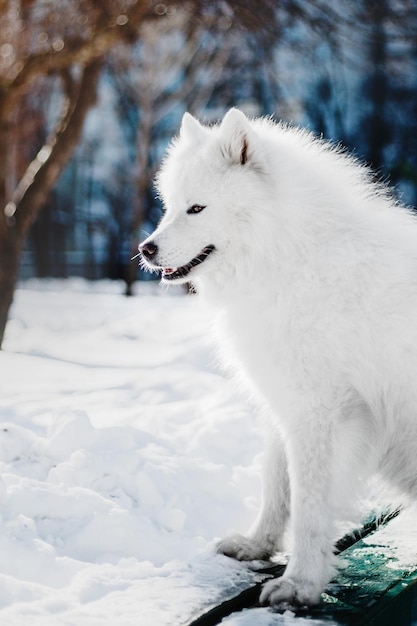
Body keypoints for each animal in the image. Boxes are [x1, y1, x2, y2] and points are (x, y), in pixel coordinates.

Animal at [139, 107, 416, 604]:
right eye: (169, 207)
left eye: (197, 208)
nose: (145, 249)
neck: (288, 255)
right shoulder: (281, 404)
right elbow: (275, 488)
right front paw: (258, 546)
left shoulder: (318, 414)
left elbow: (308, 505)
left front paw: (301, 583)